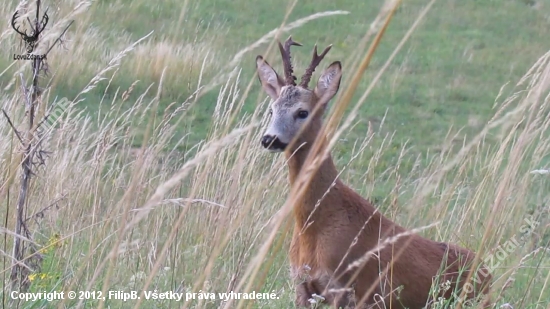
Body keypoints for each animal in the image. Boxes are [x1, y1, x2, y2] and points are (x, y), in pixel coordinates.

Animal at [256, 36, 494, 308]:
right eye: (271, 110)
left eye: (302, 112)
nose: (269, 139)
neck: (312, 228)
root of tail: (489, 273)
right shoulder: (301, 287)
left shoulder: (346, 287)